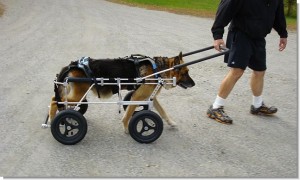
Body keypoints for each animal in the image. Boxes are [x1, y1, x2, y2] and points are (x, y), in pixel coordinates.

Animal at [48, 52, 196, 132]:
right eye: (185, 72)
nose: (194, 84)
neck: (159, 69)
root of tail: (72, 65)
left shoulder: (149, 97)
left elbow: (163, 111)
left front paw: (171, 122)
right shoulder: (137, 97)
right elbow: (128, 114)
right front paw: (127, 129)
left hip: (77, 96)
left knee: (61, 102)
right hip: (78, 95)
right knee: (55, 101)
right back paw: (52, 119)